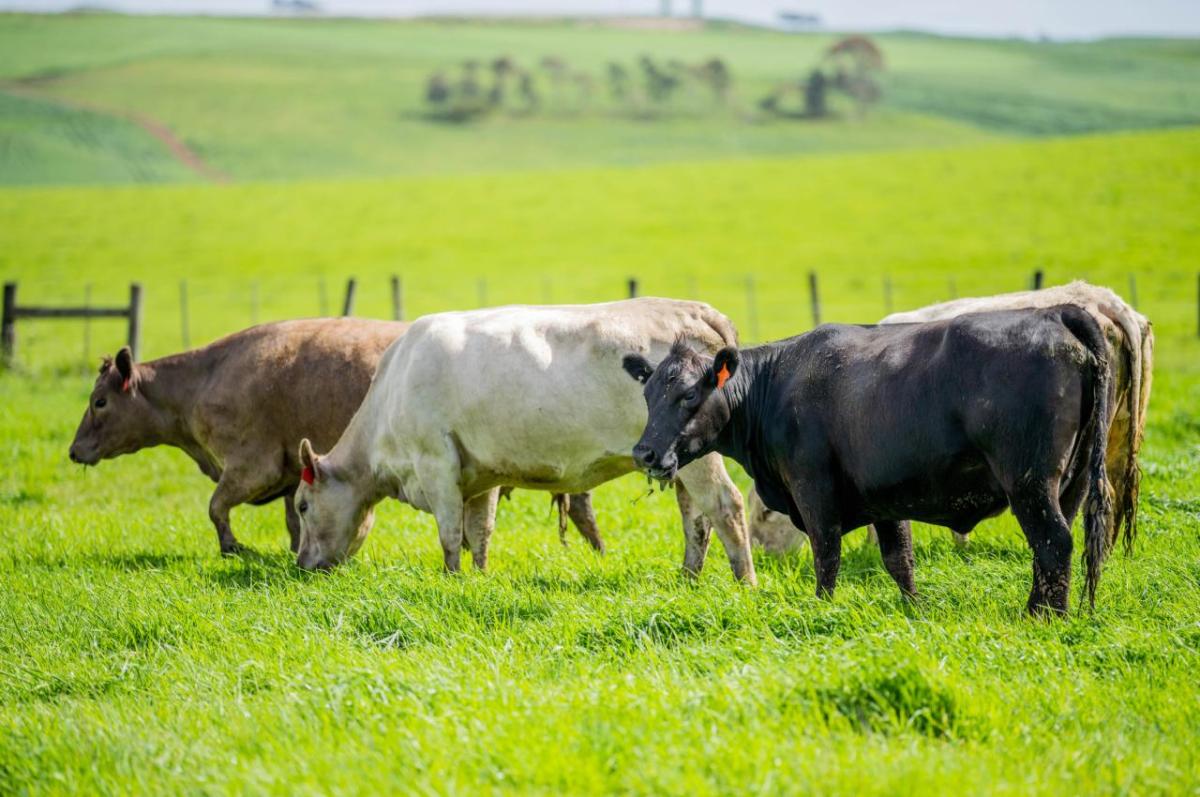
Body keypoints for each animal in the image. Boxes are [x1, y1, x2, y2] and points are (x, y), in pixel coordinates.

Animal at [68, 318, 606, 556]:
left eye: (99, 402)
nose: (74, 450)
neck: (205, 378)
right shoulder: (290, 472)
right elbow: (292, 520)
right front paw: (290, 553)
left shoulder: (252, 464)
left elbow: (216, 507)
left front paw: (234, 549)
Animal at [293, 298, 757, 585]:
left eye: (302, 505)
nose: (301, 565)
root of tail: (696, 311)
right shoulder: (479, 473)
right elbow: (479, 531)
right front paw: (479, 578)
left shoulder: (435, 462)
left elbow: (449, 534)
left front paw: (451, 579)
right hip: (682, 459)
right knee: (696, 518)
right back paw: (688, 578)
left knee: (726, 506)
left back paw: (744, 581)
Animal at [624, 306, 1113, 615]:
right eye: (648, 396)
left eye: (689, 395)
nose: (644, 452)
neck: (777, 384)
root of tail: (1056, 314)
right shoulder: (885, 498)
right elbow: (900, 560)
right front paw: (915, 610)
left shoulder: (814, 489)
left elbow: (827, 555)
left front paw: (821, 610)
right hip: (1070, 484)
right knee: (1053, 548)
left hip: (1030, 482)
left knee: (1053, 542)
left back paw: (1043, 618)